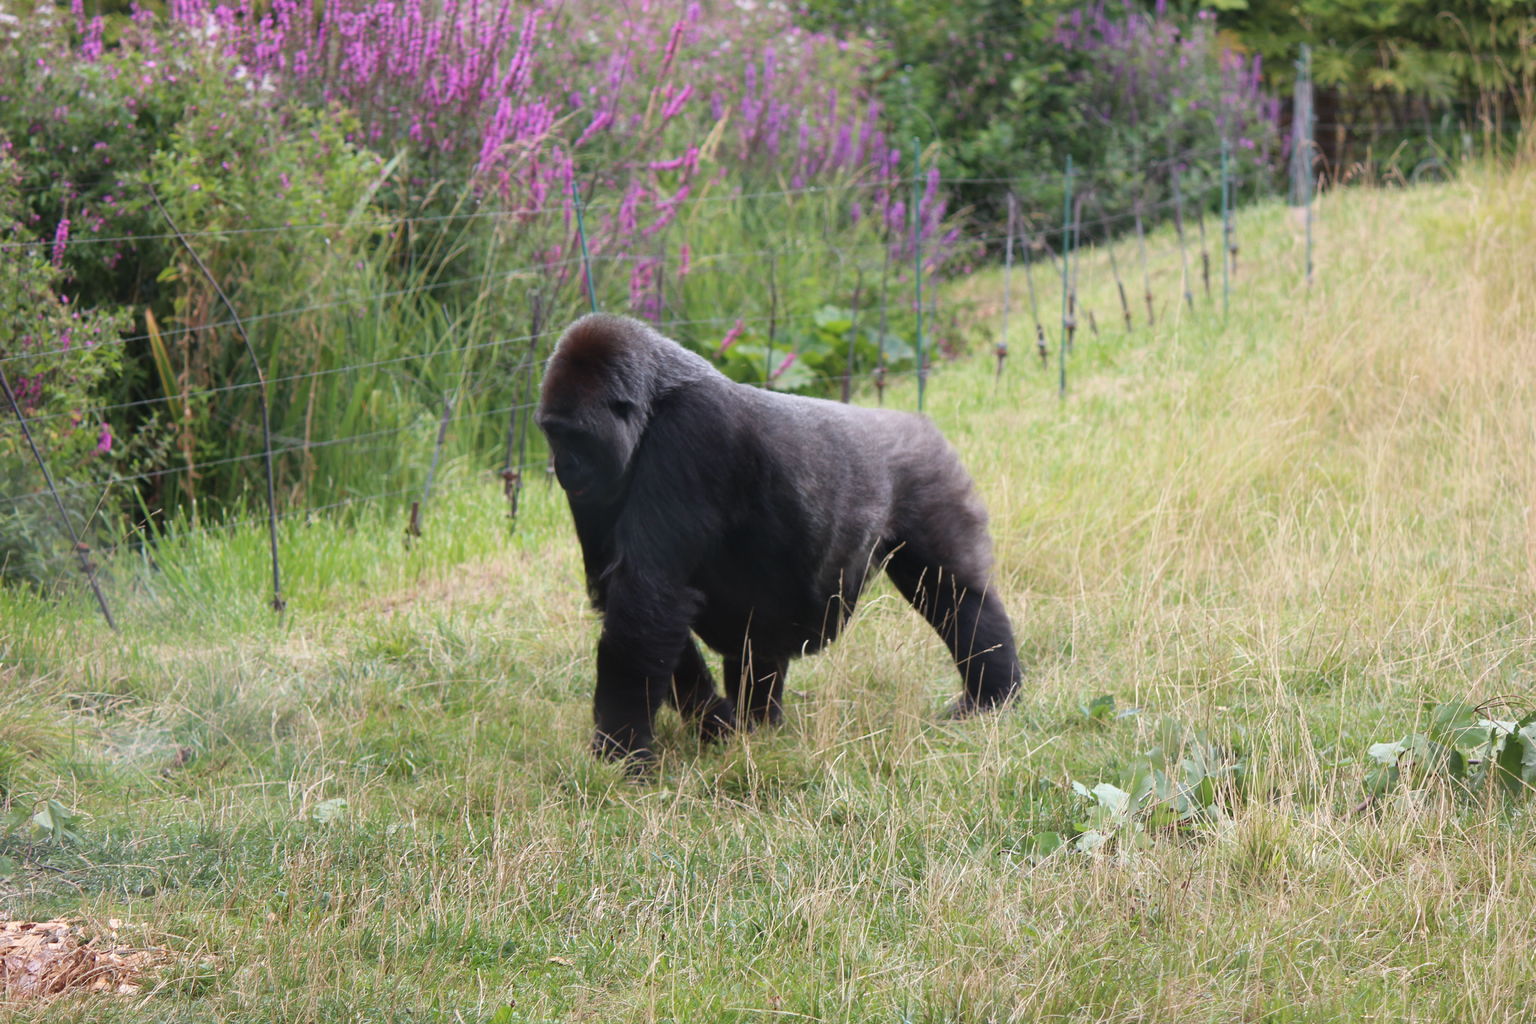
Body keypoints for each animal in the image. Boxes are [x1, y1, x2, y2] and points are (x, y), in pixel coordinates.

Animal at [534, 316, 1026, 764]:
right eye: (550, 433)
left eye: (574, 436)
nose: (563, 469)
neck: (657, 399)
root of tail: (917, 421)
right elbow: (630, 598)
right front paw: (714, 722)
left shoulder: (694, 431)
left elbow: (646, 598)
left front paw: (622, 750)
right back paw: (760, 724)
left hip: (931, 476)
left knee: (954, 595)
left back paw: (992, 696)